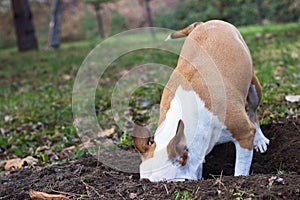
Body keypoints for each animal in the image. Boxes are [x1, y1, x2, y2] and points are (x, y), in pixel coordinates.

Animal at [134, 19, 270, 181]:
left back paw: (260, 139)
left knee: (253, 111)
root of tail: (204, 23)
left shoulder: (244, 134)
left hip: (254, 87)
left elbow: (240, 169)